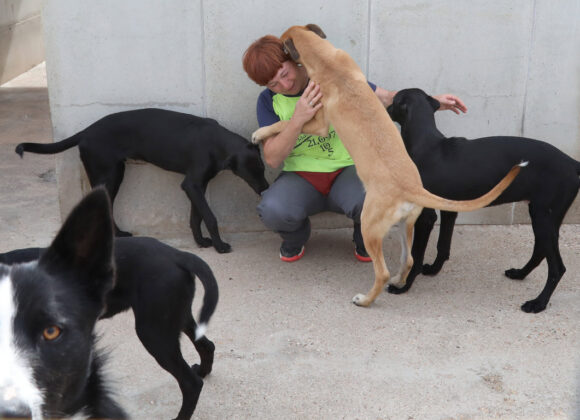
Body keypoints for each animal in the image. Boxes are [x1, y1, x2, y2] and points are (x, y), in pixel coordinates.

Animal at [15, 108, 270, 253]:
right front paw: (220, 246)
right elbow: (210, 217)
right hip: (108, 176)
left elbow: (195, 217)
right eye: (252, 172)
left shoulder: (196, 185)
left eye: (263, 168)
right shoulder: (192, 184)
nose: (266, 189)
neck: (217, 142)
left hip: (116, 174)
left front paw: (201, 242)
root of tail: (85, 132)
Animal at [251, 24, 528, 308]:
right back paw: (398, 280)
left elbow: (285, 123)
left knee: (381, 271)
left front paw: (260, 133)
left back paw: (365, 299)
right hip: (406, 223)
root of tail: (412, 187)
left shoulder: (318, 124)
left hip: (369, 224)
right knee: (409, 259)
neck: (327, 61)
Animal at [386, 88, 580, 312]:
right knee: (541, 250)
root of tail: (571, 162)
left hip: (543, 216)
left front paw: (404, 285)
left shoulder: (426, 217)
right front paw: (434, 269)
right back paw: (520, 274)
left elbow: (416, 256)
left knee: (557, 267)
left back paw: (538, 303)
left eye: (394, 101)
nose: (386, 107)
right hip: (545, 216)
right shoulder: (450, 209)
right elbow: (443, 246)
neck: (427, 145)